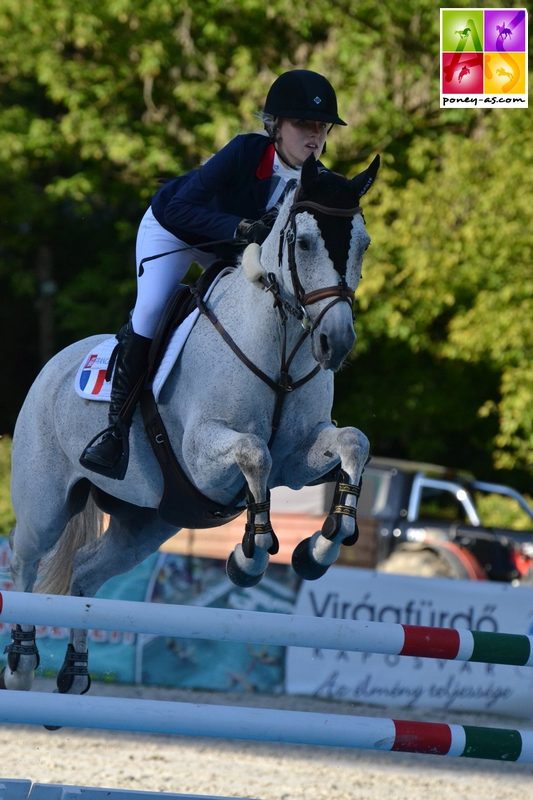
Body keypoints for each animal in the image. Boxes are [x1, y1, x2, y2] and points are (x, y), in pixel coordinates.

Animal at [4, 155, 378, 692]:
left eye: (363, 244)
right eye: (304, 242)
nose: (337, 343)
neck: (281, 345)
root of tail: (54, 365)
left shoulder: (298, 457)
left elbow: (352, 443)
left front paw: (318, 549)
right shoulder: (203, 456)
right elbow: (254, 453)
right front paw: (248, 558)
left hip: (147, 522)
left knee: (86, 570)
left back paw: (74, 670)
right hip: (46, 505)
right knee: (26, 561)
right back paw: (21, 661)